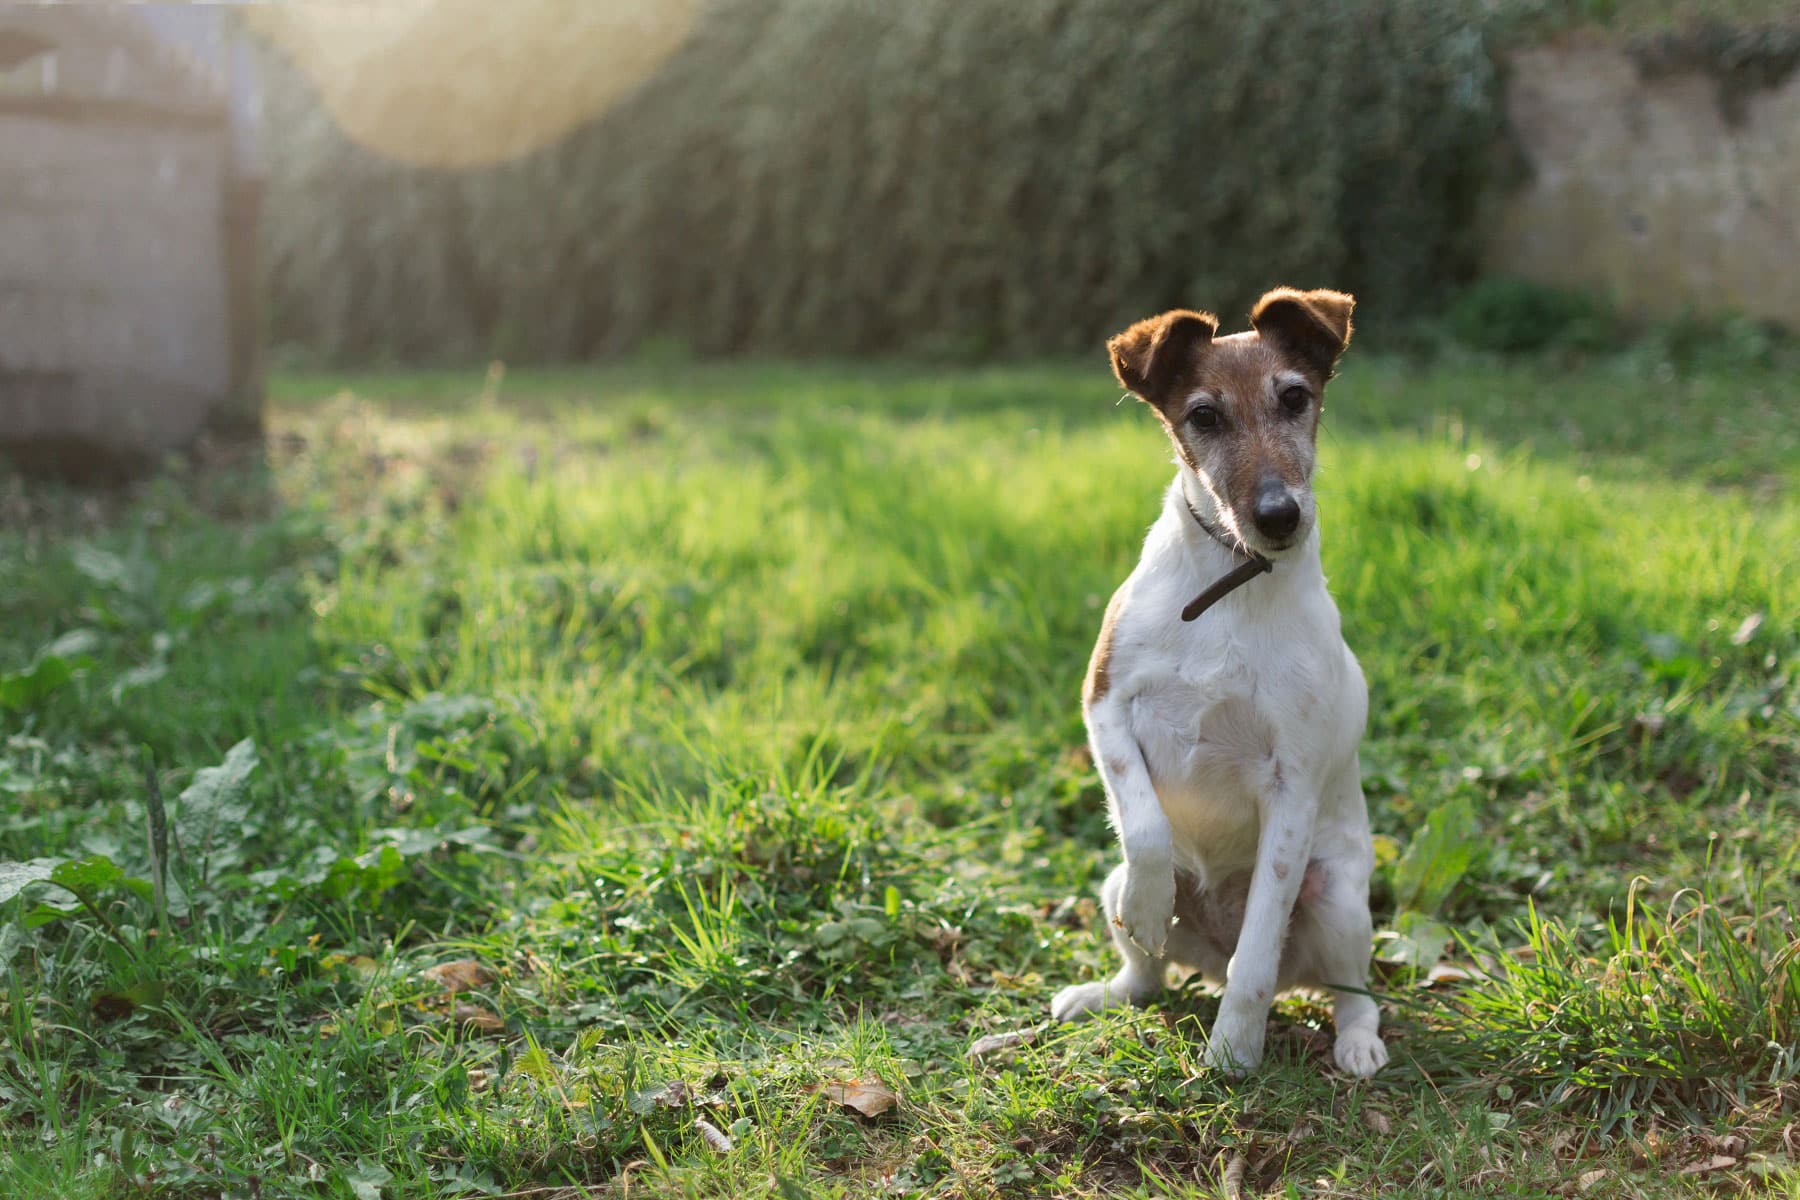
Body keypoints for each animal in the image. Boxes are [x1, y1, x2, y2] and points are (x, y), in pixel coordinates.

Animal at [1044, 287, 1389, 1079]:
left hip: (1338, 902)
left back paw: (1357, 1041)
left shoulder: (1291, 786)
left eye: (1294, 398)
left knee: (1346, 987)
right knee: (1147, 974)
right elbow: (1145, 827)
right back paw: (1107, 988)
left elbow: (1255, 958)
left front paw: (1235, 1049)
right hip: (1109, 887)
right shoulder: (1104, 705)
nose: (1279, 515)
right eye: (1203, 416)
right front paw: (1153, 902)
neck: (1233, 587)